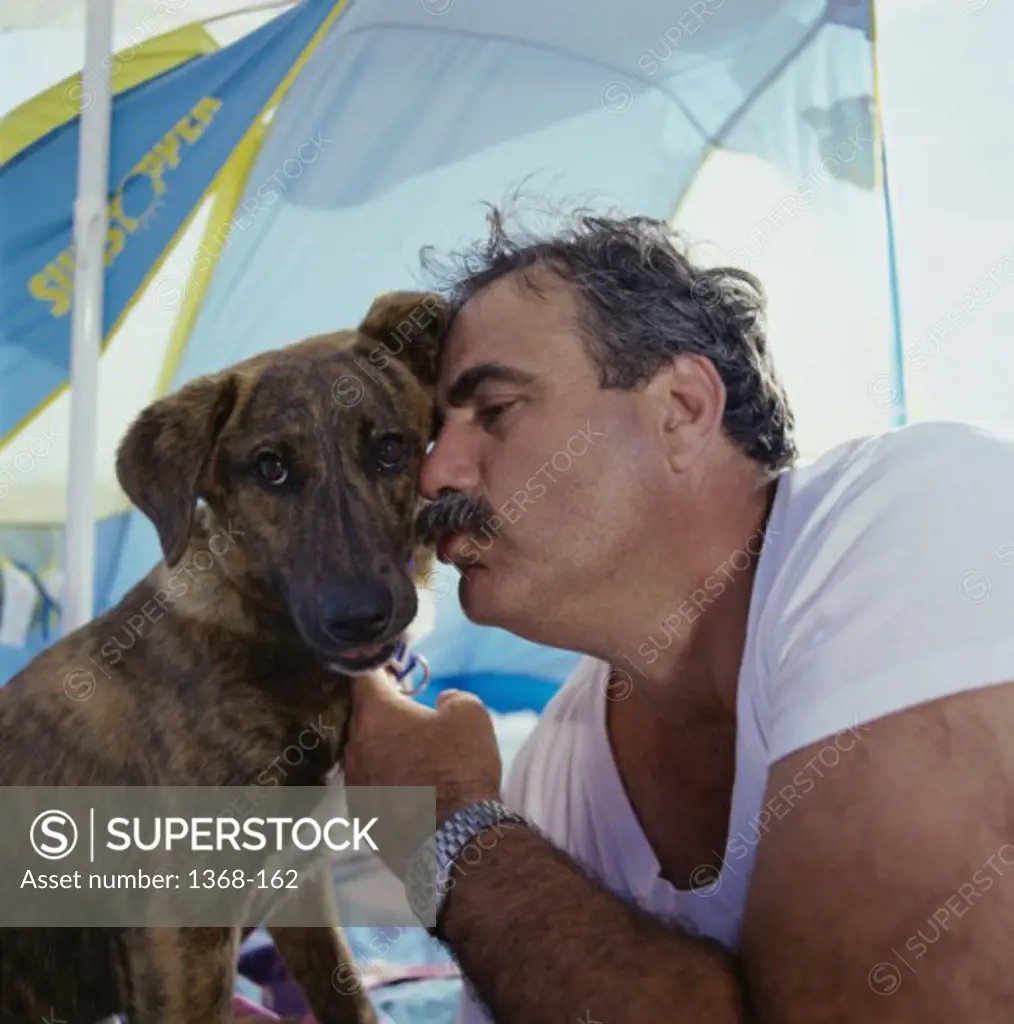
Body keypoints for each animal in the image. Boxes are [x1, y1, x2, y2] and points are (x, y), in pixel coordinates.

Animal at [0, 290, 448, 1024]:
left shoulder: (302, 891)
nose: (361, 614)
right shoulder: (181, 928)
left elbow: (349, 998)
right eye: (270, 468)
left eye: (390, 448)